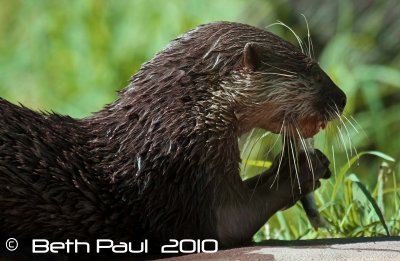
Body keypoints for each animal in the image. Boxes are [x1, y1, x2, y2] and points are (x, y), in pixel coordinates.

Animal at [0, 21, 344, 250]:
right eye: (312, 70)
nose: (341, 98)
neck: (175, 124)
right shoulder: (189, 174)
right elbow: (234, 220)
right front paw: (304, 167)